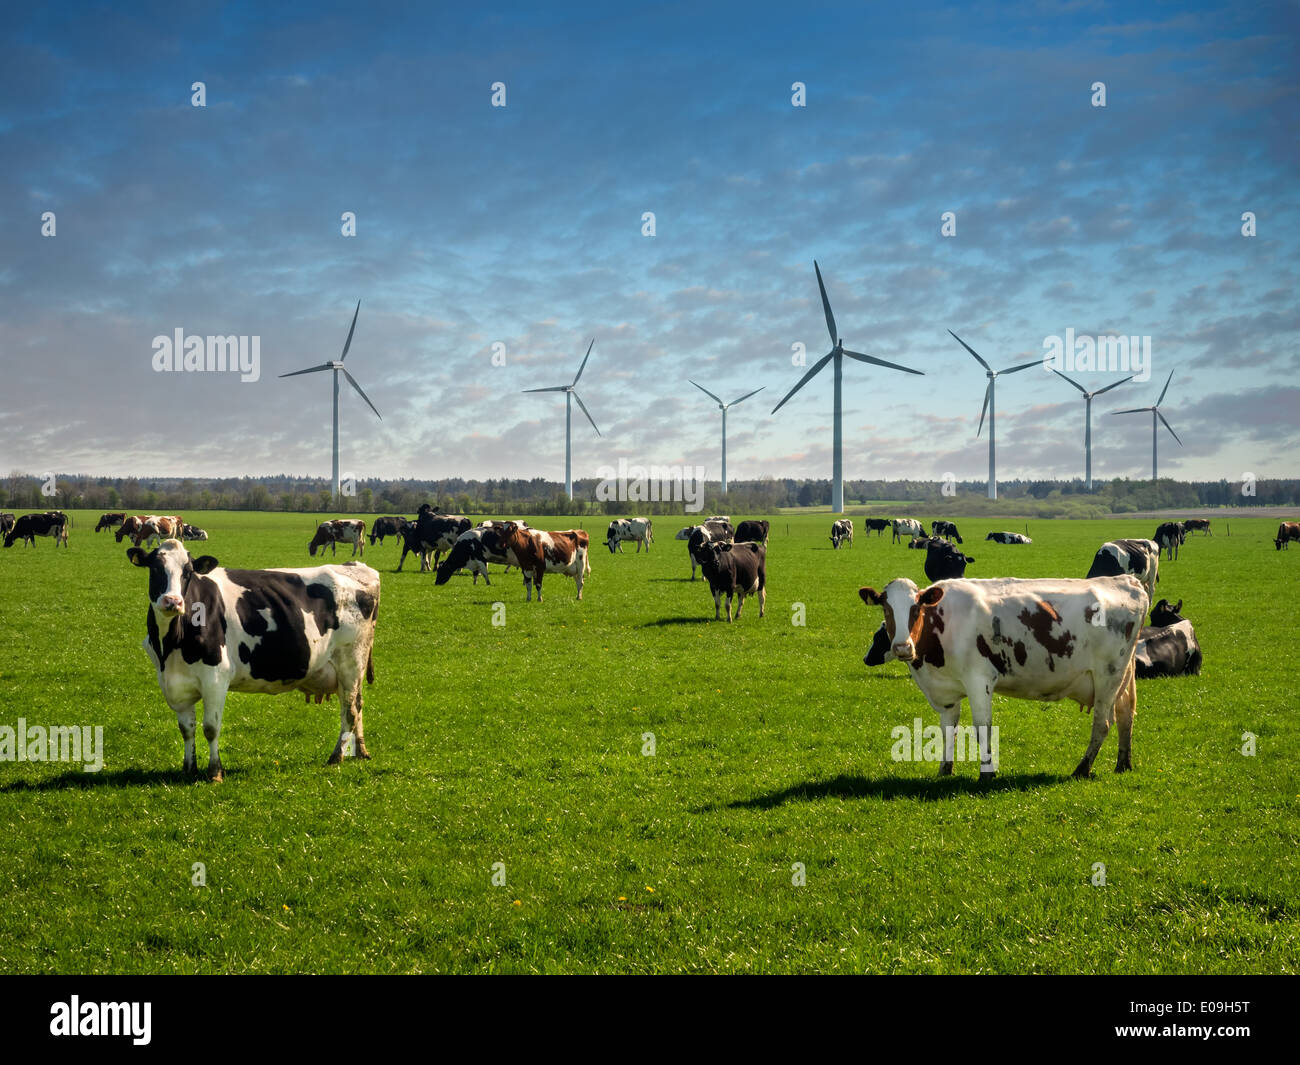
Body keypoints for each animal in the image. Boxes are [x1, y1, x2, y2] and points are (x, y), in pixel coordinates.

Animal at [127, 539, 380, 780]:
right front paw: (189, 768)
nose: (172, 601)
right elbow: (186, 729)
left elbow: (210, 728)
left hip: (351, 661)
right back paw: (361, 751)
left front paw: (215, 771)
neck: (170, 646)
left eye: (188, 572)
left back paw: (336, 756)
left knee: (349, 711)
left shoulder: (215, 679)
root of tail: (356, 568)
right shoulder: (174, 682)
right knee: (357, 705)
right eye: (155, 568)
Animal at [858, 575, 1147, 778]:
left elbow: (982, 729)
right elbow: (948, 730)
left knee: (1103, 724)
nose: (902, 647)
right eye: (886, 609)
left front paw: (987, 774)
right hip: (1122, 678)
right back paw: (1123, 764)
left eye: (916, 608)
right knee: (1125, 715)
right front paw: (944, 770)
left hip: (1108, 675)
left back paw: (1082, 769)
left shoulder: (979, 680)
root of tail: (1125, 580)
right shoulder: (947, 691)